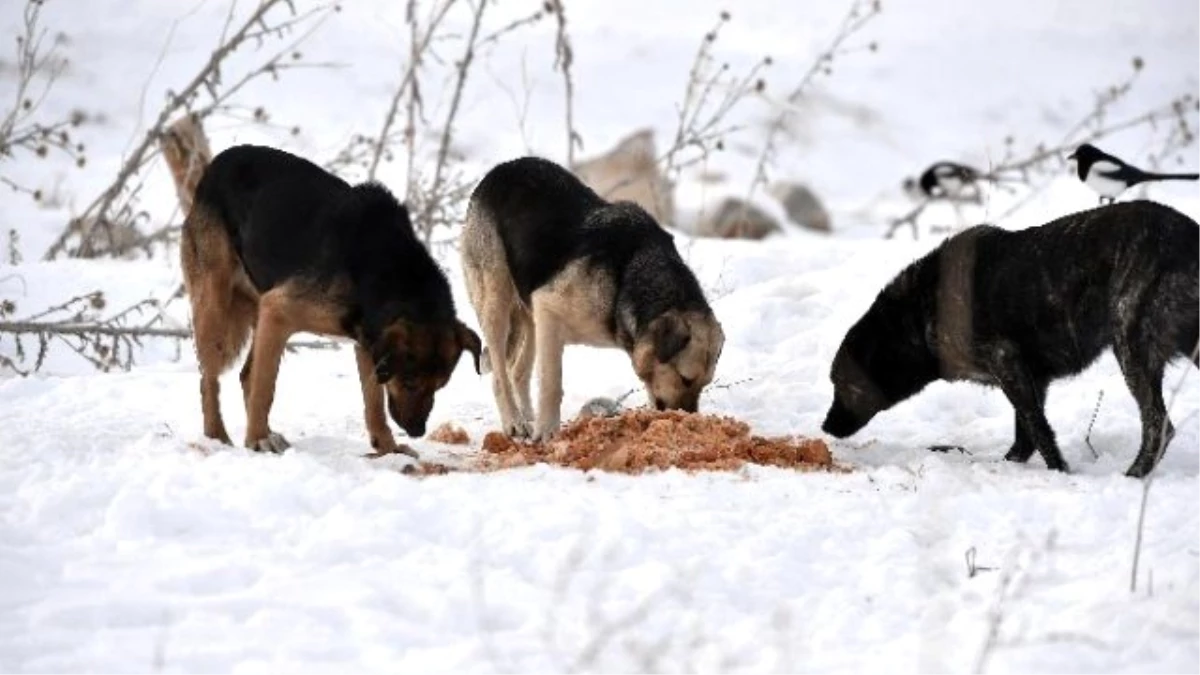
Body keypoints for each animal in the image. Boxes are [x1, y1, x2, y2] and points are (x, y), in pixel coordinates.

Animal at [180, 144, 480, 454]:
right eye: (409, 382)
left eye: (440, 385)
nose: (417, 430)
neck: (389, 275)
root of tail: (218, 162)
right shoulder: (278, 310)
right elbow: (264, 387)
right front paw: (257, 439)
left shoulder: (367, 340)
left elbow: (374, 403)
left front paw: (387, 448)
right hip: (216, 308)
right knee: (211, 379)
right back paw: (220, 435)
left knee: (244, 375)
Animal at [458, 154, 720, 439]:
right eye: (685, 379)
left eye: (704, 383)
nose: (689, 419)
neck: (625, 279)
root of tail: (502, 168)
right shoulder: (548, 308)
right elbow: (552, 384)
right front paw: (547, 433)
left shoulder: (543, 315)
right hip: (496, 300)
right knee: (500, 375)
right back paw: (514, 422)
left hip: (529, 310)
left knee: (518, 371)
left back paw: (528, 416)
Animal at [820, 199, 1200, 478]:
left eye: (843, 384)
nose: (825, 427)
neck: (917, 312)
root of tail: (1189, 239)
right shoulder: (1031, 377)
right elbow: (1025, 435)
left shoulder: (1007, 364)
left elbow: (1038, 430)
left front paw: (1060, 474)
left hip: (1130, 348)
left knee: (1158, 425)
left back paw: (1133, 476)